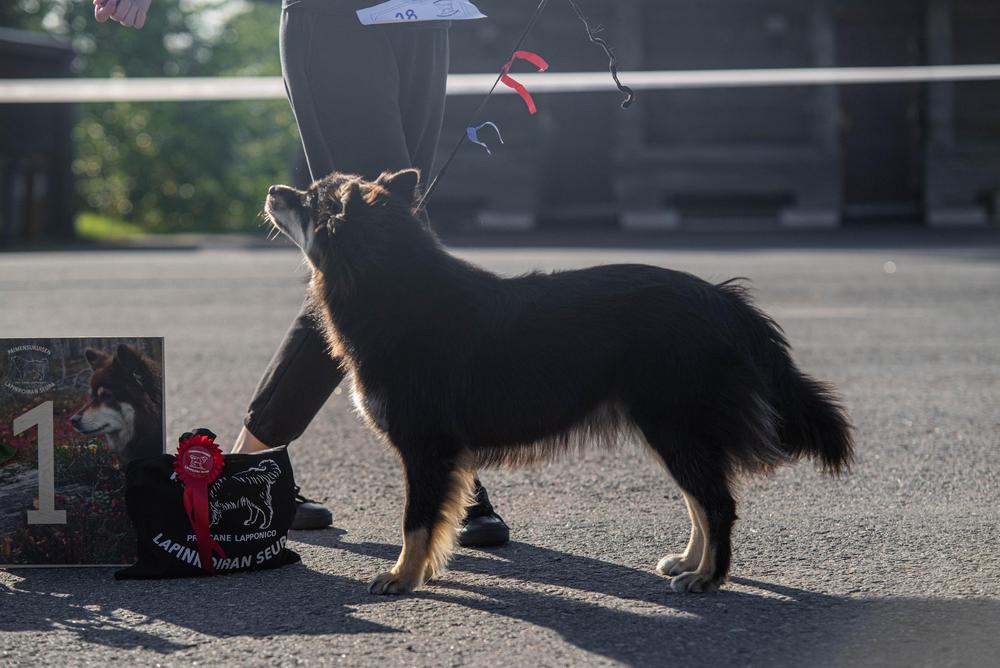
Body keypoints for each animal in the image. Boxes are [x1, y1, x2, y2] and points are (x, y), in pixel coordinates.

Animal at [265, 169, 853, 595]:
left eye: (310, 198)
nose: (273, 189)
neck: (390, 284)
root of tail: (722, 299)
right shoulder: (441, 455)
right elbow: (432, 524)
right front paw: (422, 571)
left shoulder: (426, 449)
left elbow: (415, 521)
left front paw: (403, 577)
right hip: (670, 428)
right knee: (700, 501)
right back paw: (689, 562)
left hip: (673, 423)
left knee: (716, 504)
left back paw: (708, 578)